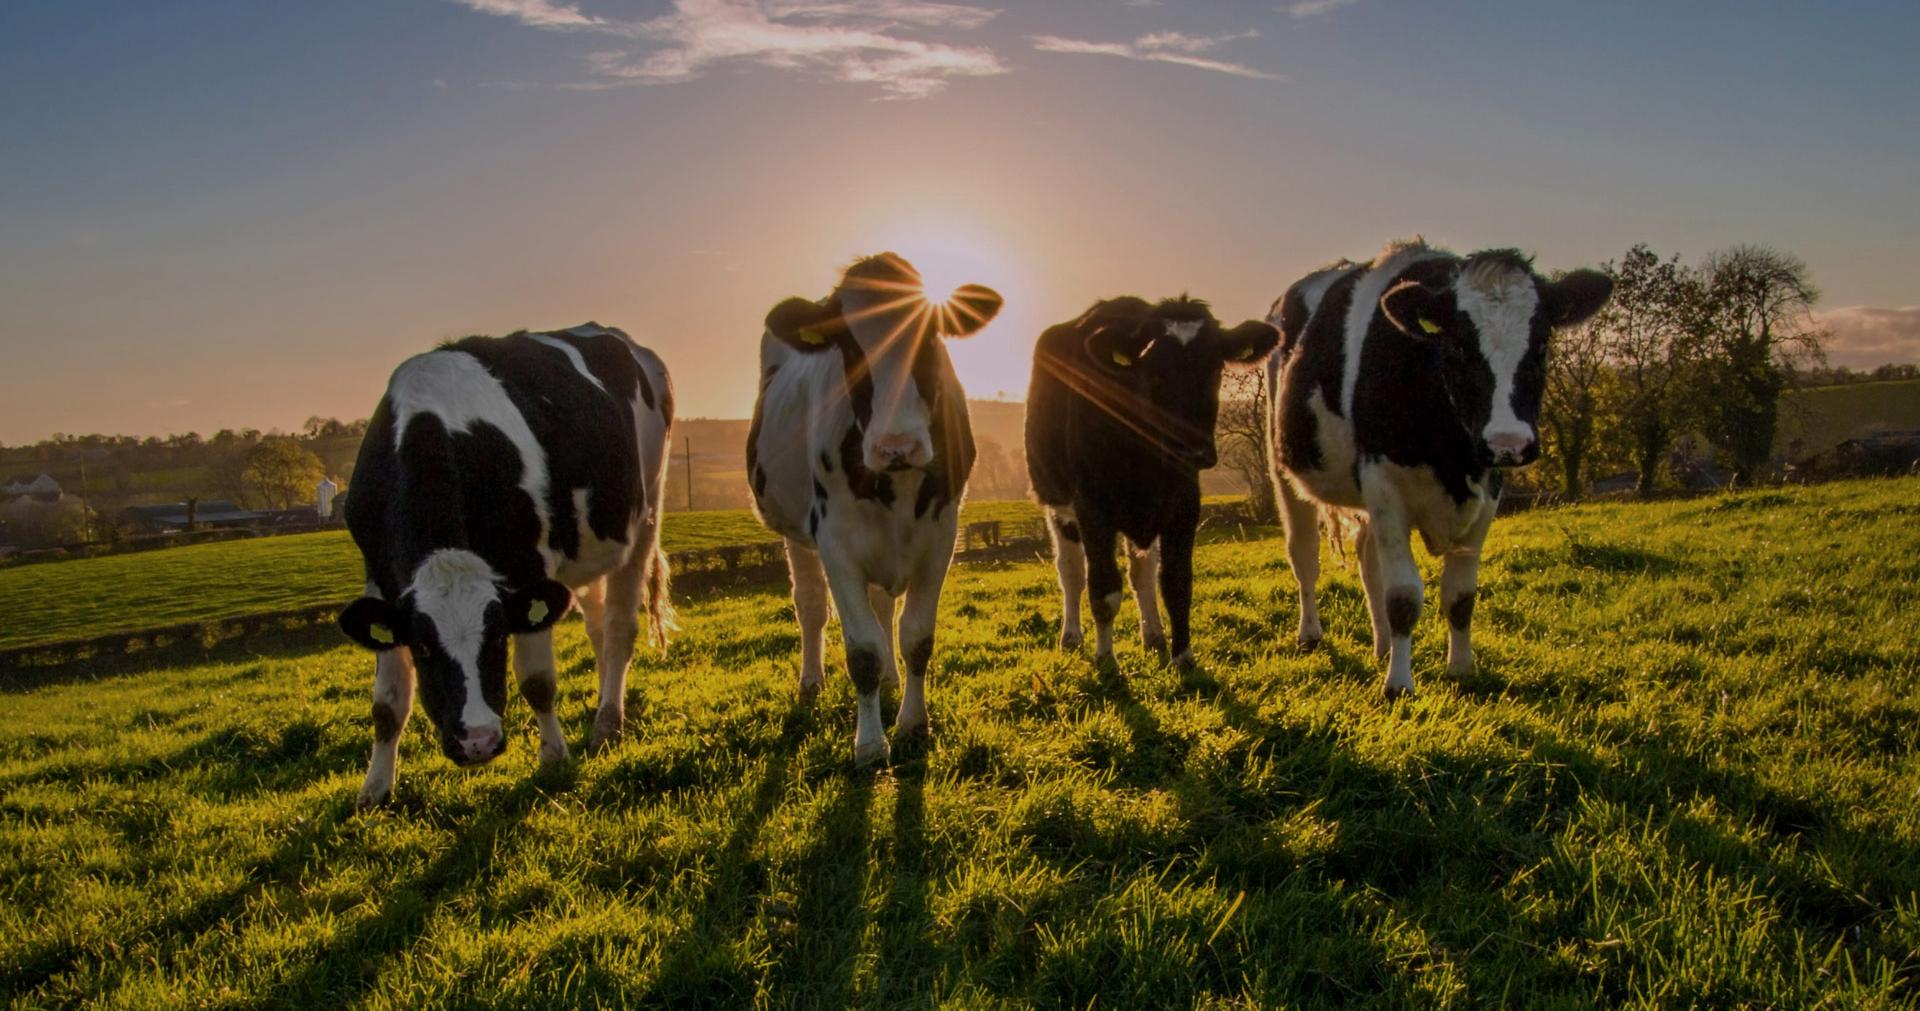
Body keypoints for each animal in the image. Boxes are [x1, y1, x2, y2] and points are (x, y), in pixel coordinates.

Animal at [337, 322, 675, 805]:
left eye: (498, 636)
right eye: (423, 646)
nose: (476, 741)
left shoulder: (528, 566)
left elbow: (537, 680)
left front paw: (553, 757)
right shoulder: (382, 580)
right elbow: (387, 701)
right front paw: (375, 789)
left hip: (646, 509)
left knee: (617, 627)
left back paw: (608, 721)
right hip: (587, 546)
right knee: (595, 625)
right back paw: (602, 698)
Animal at [744, 253, 1006, 767]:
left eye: (932, 335)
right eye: (848, 346)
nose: (896, 446)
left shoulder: (941, 537)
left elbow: (916, 636)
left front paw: (914, 724)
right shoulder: (835, 542)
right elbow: (863, 649)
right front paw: (869, 744)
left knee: (884, 606)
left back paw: (889, 681)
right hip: (795, 531)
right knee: (810, 605)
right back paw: (811, 682)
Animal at [1029, 297, 1282, 667]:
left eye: (1214, 370)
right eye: (1155, 374)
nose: (1193, 449)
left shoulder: (1184, 506)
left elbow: (1176, 583)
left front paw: (1183, 657)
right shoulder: (1092, 508)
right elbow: (1103, 588)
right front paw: (1106, 660)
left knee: (1141, 573)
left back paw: (1153, 635)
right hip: (1056, 502)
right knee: (1071, 572)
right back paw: (1072, 636)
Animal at [1267, 239, 1612, 698]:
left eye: (1541, 343)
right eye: (1458, 347)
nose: (1508, 443)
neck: (1451, 455)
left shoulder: (1487, 491)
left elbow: (1460, 595)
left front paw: (1461, 668)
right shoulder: (1385, 484)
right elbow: (1403, 595)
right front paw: (1398, 684)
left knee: (1368, 563)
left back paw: (1381, 645)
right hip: (1285, 472)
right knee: (1304, 554)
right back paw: (1310, 633)